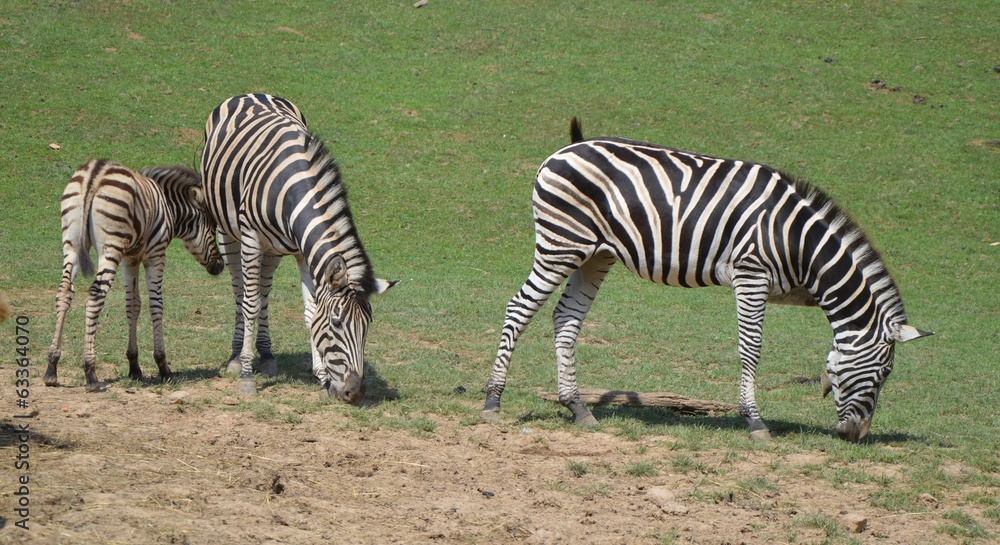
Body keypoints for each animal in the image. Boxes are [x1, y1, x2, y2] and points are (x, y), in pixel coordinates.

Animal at [46, 160, 225, 391]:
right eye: (212, 228)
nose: (220, 266)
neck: (169, 208)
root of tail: (95, 172)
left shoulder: (130, 258)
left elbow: (133, 304)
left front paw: (134, 366)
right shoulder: (155, 254)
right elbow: (156, 304)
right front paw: (163, 367)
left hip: (72, 243)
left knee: (64, 292)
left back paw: (52, 367)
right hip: (110, 247)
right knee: (95, 295)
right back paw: (90, 372)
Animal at [201, 93, 396, 401]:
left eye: (367, 326)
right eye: (337, 323)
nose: (355, 393)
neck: (294, 188)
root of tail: (251, 93)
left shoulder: (304, 252)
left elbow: (309, 311)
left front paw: (323, 379)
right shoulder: (252, 239)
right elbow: (250, 305)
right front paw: (246, 376)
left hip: (273, 249)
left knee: (264, 291)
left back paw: (268, 356)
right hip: (228, 231)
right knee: (240, 290)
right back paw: (235, 357)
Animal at [480, 119, 931, 442]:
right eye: (884, 373)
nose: (856, 438)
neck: (801, 243)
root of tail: (567, 148)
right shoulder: (752, 274)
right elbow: (751, 349)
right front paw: (755, 422)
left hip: (594, 254)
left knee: (566, 319)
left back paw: (577, 407)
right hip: (561, 243)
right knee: (520, 306)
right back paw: (492, 401)